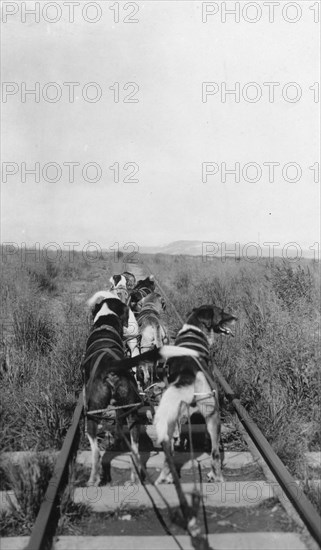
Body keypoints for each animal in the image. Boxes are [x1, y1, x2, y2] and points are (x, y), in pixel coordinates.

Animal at [152, 306, 235, 488]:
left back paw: (165, 478)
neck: (194, 329)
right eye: (221, 311)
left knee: (169, 455)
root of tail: (188, 374)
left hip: (169, 424)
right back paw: (217, 477)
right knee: (215, 453)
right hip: (214, 416)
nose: (235, 318)